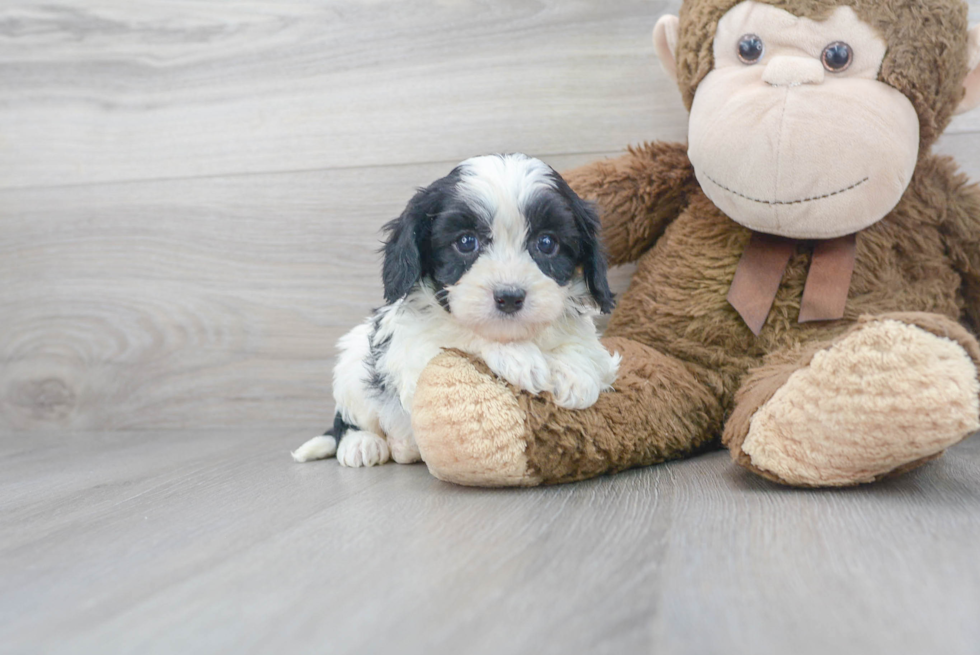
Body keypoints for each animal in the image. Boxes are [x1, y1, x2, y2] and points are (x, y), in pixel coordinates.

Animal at [290, 154, 624, 468]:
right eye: (465, 241)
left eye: (546, 243)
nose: (509, 297)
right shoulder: (413, 355)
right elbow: (458, 335)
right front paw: (519, 358)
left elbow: (587, 351)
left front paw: (575, 374)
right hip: (352, 365)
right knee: (348, 418)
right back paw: (362, 444)